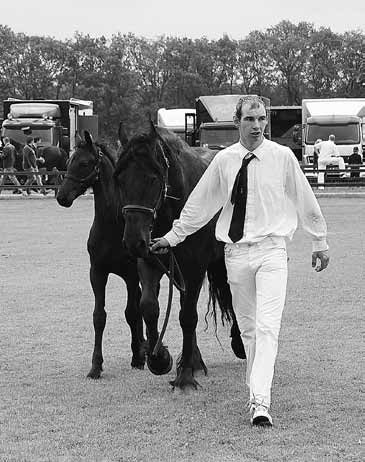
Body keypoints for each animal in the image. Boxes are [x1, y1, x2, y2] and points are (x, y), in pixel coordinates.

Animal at [57, 131, 145, 378]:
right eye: (68, 161)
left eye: (84, 163)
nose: (61, 196)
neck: (112, 224)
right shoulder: (97, 272)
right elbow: (99, 316)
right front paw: (96, 365)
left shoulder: (131, 275)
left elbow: (131, 312)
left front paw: (137, 357)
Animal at [114, 122, 245, 390]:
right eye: (120, 179)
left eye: (153, 179)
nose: (133, 241)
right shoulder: (150, 261)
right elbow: (149, 307)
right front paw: (160, 359)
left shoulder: (194, 268)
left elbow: (187, 317)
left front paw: (184, 376)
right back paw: (194, 360)